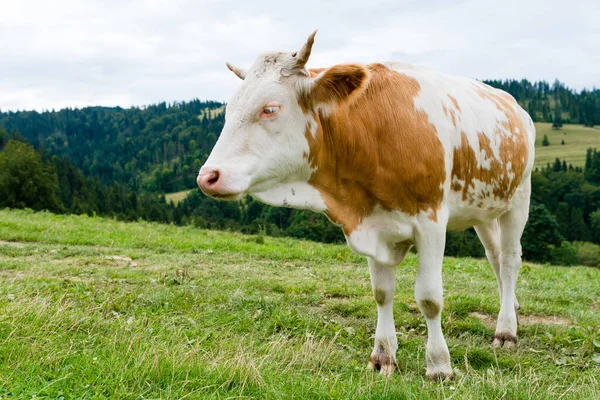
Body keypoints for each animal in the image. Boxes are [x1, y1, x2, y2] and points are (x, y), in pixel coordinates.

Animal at [197, 30, 536, 378]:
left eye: (270, 109)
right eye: (228, 111)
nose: (208, 176)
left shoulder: (430, 220)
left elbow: (429, 298)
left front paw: (439, 365)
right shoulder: (372, 220)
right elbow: (382, 292)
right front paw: (384, 355)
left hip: (519, 197)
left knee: (509, 259)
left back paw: (506, 330)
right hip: (484, 209)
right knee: (495, 257)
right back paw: (511, 309)